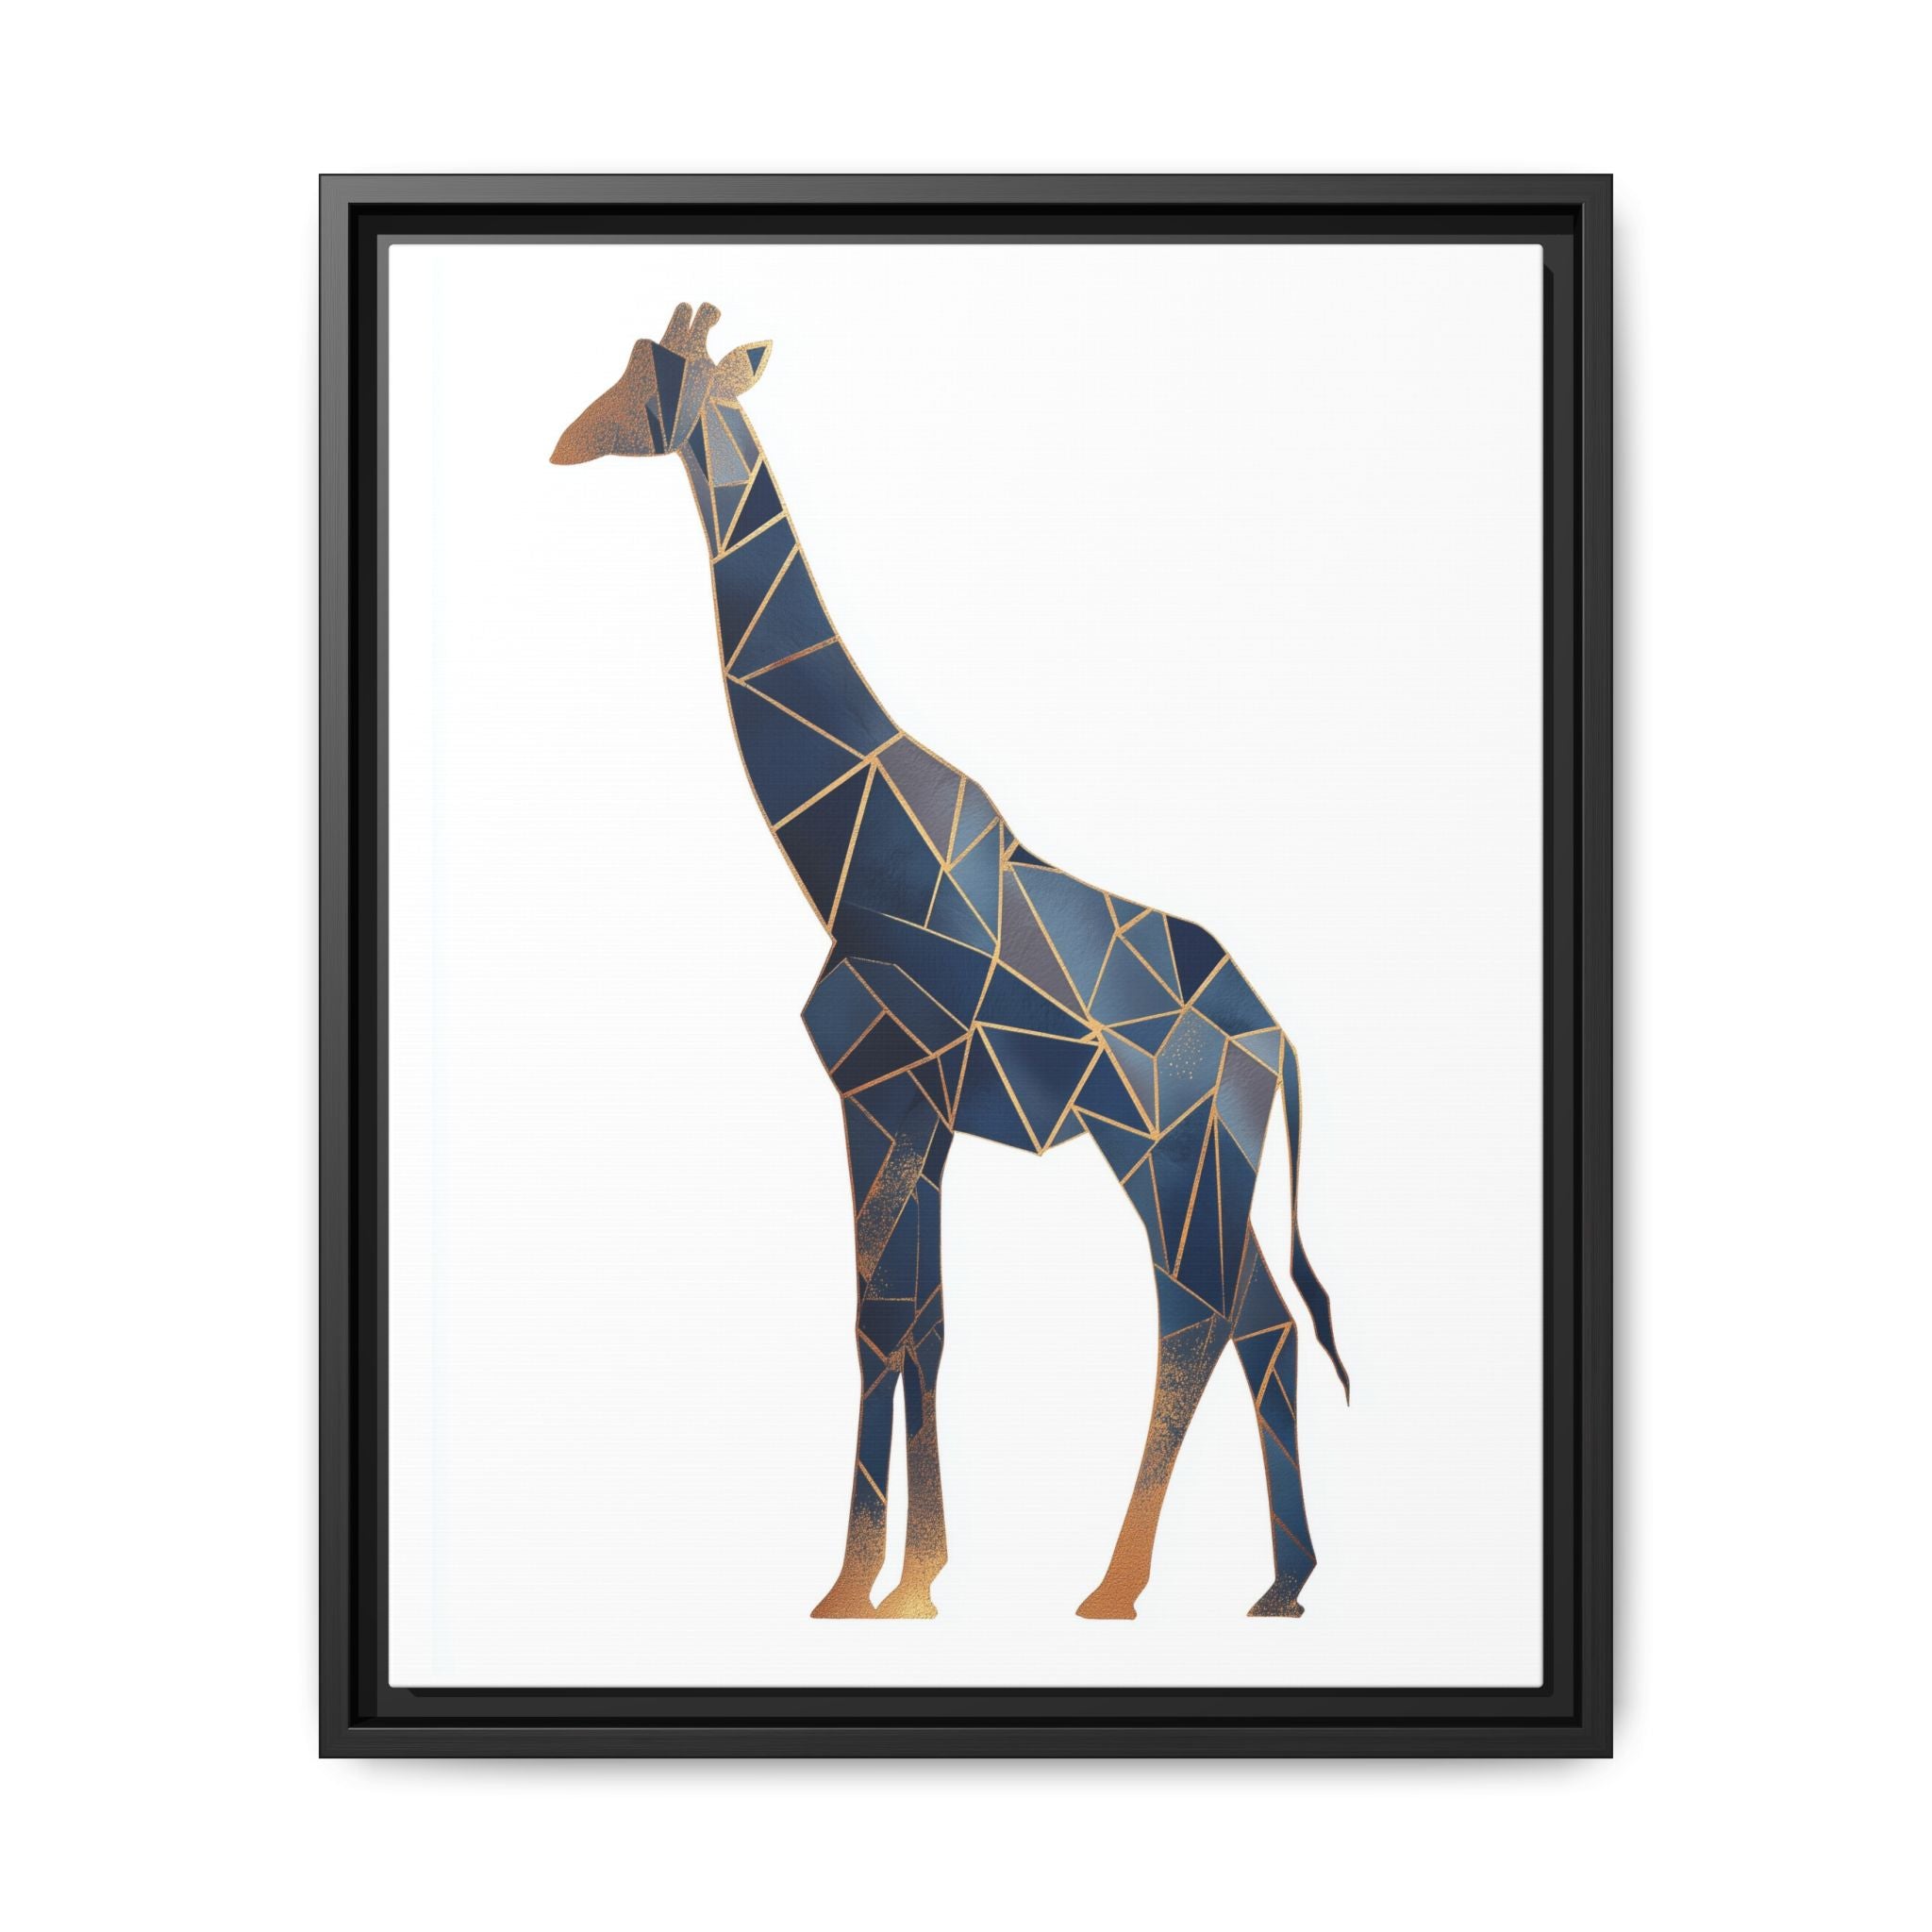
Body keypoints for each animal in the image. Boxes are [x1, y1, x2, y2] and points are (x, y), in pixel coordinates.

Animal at [552, 302, 1349, 1621]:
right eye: (624, 366)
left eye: (655, 381)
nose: (566, 440)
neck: (845, 851)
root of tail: (1274, 1039)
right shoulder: (913, 1114)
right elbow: (918, 1322)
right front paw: (903, 1579)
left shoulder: (880, 1092)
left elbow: (881, 1321)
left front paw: (866, 1583)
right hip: (1204, 1160)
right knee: (1260, 1323)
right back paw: (1279, 1583)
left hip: (1163, 1149)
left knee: (1197, 1316)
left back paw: (1118, 1586)